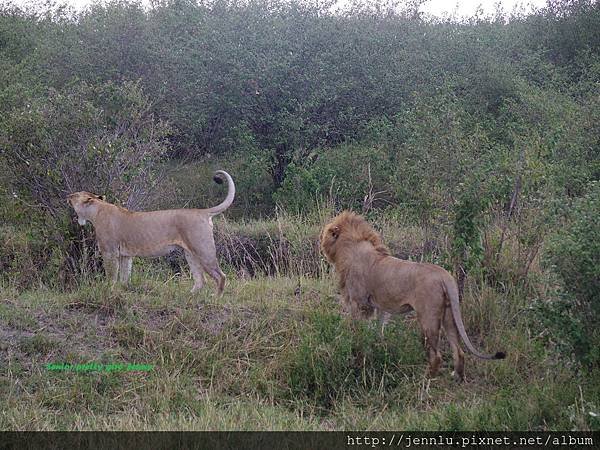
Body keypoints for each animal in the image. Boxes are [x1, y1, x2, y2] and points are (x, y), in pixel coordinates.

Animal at [67, 170, 233, 296]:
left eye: (75, 195)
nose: (67, 196)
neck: (96, 211)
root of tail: (202, 212)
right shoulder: (126, 255)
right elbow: (124, 277)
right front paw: (124, 291)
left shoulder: (110, 252)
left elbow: (111, 275)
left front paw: (108, 290)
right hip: (190, 253)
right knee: (200, 280)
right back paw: (189, 296)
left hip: (203, 250)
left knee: (220, 276)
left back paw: (215, 297)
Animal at [322, 211, 504, 380]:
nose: (320, 241)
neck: (350, 251)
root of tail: (444, 276)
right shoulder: (380, 306)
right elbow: (379, 329)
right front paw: (378, 346)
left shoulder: (359, 303)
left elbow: (357, 329)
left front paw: (357, 347)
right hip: (449, 315)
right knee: (458, 350)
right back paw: (457, 376)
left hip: (427, 317)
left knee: (436, 356)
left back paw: (426, 378)